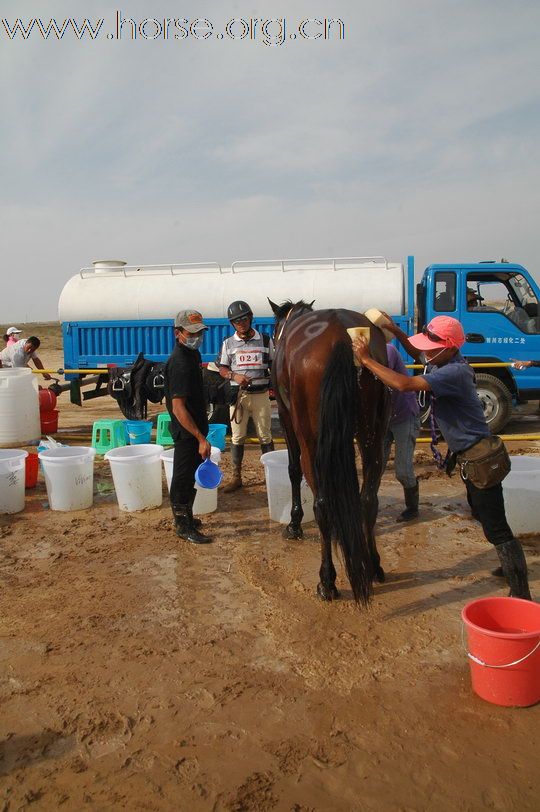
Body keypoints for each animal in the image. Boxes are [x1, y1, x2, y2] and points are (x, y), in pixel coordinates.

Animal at [268, 302, 388, 604]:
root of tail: (341, 337)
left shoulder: (286, 418)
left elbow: (293, 470)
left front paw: (294, 524)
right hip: (373, 434)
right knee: (368, 499)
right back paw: (372, 565)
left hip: (311, 439)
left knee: (322, 504)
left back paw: (327, 581)